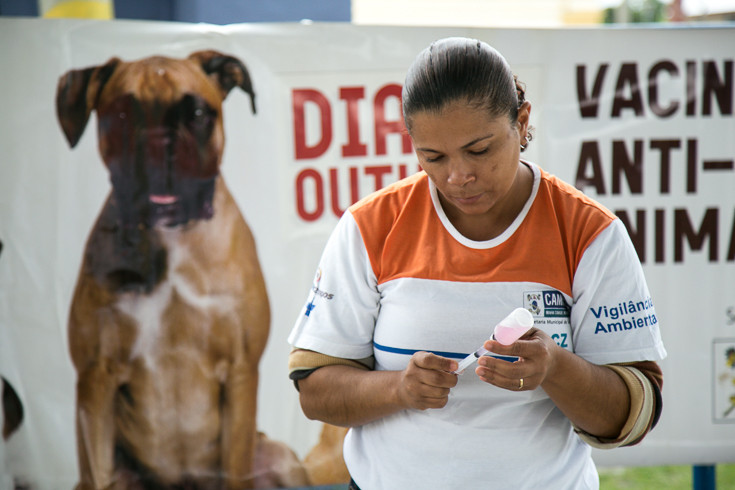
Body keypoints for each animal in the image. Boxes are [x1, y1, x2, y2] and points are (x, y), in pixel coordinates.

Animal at [56, 50, 272, 490]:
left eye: (197, 113)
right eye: (122, 114)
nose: (159, 147)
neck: (172, 237)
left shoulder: (241, 372)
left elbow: (235, 467)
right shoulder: (95, 379)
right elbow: (96, 467)